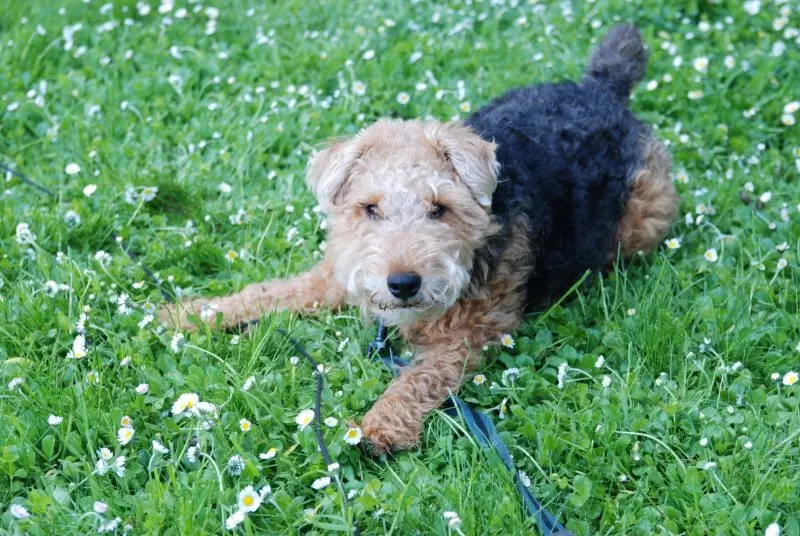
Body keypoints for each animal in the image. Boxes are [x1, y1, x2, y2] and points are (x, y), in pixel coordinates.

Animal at [161, 25, 676, 452]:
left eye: (439, 208)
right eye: (370, 208)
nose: (403, 284)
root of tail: (601, 87)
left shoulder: (471, 333)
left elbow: (418, 377)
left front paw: (379, 427)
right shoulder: (335, 276)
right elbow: (269, 292)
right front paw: (187, 314)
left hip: (645, 217)